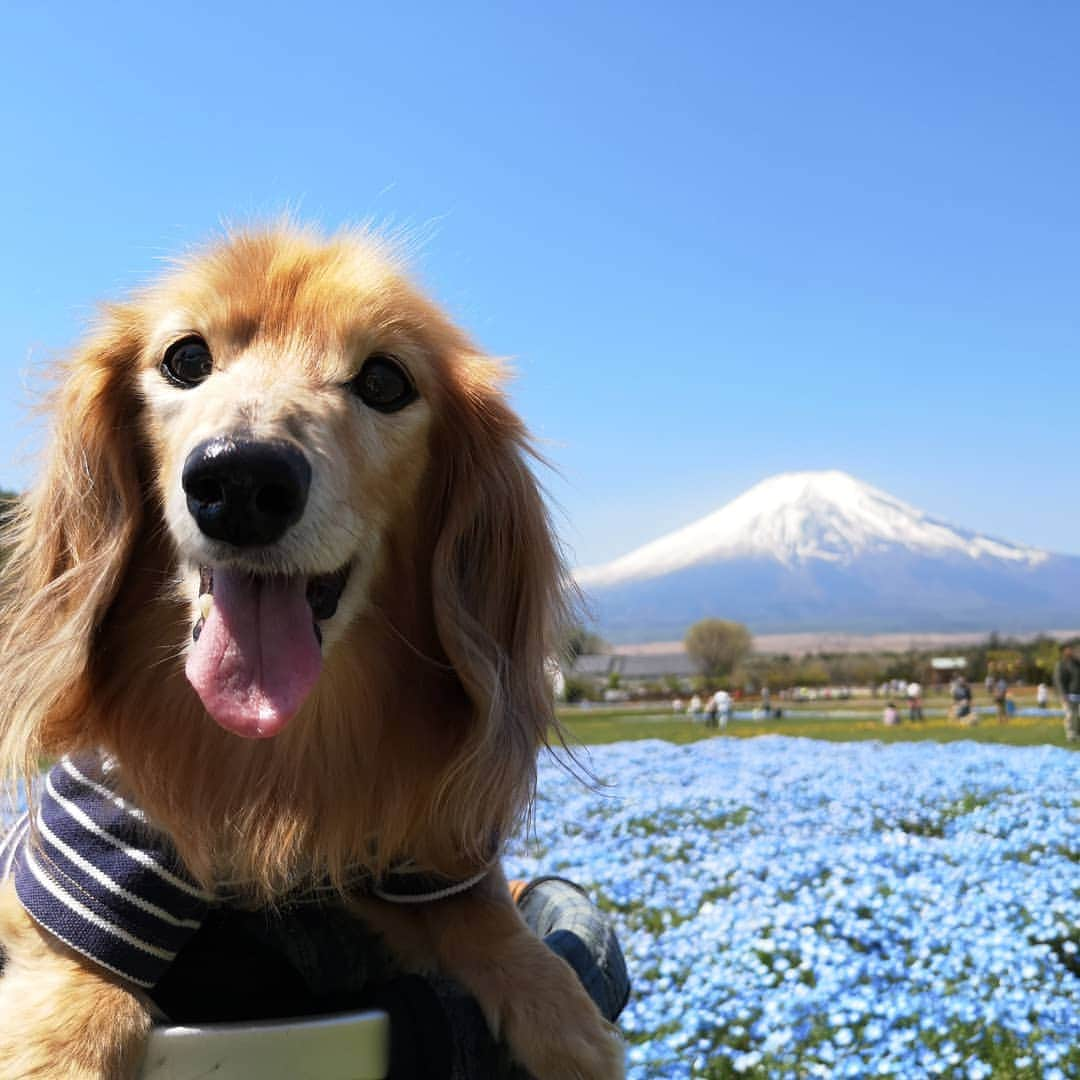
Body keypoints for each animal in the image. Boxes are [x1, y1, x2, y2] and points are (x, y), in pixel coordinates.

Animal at [0, 223, 626, 1075]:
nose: (239, 479)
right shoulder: (97, 833)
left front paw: (562, 1011)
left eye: (386, 380)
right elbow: (80, 958)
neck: (281, 754)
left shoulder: (429, 842)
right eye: (186, 359)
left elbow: (491, 919)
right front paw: (67, 1038)